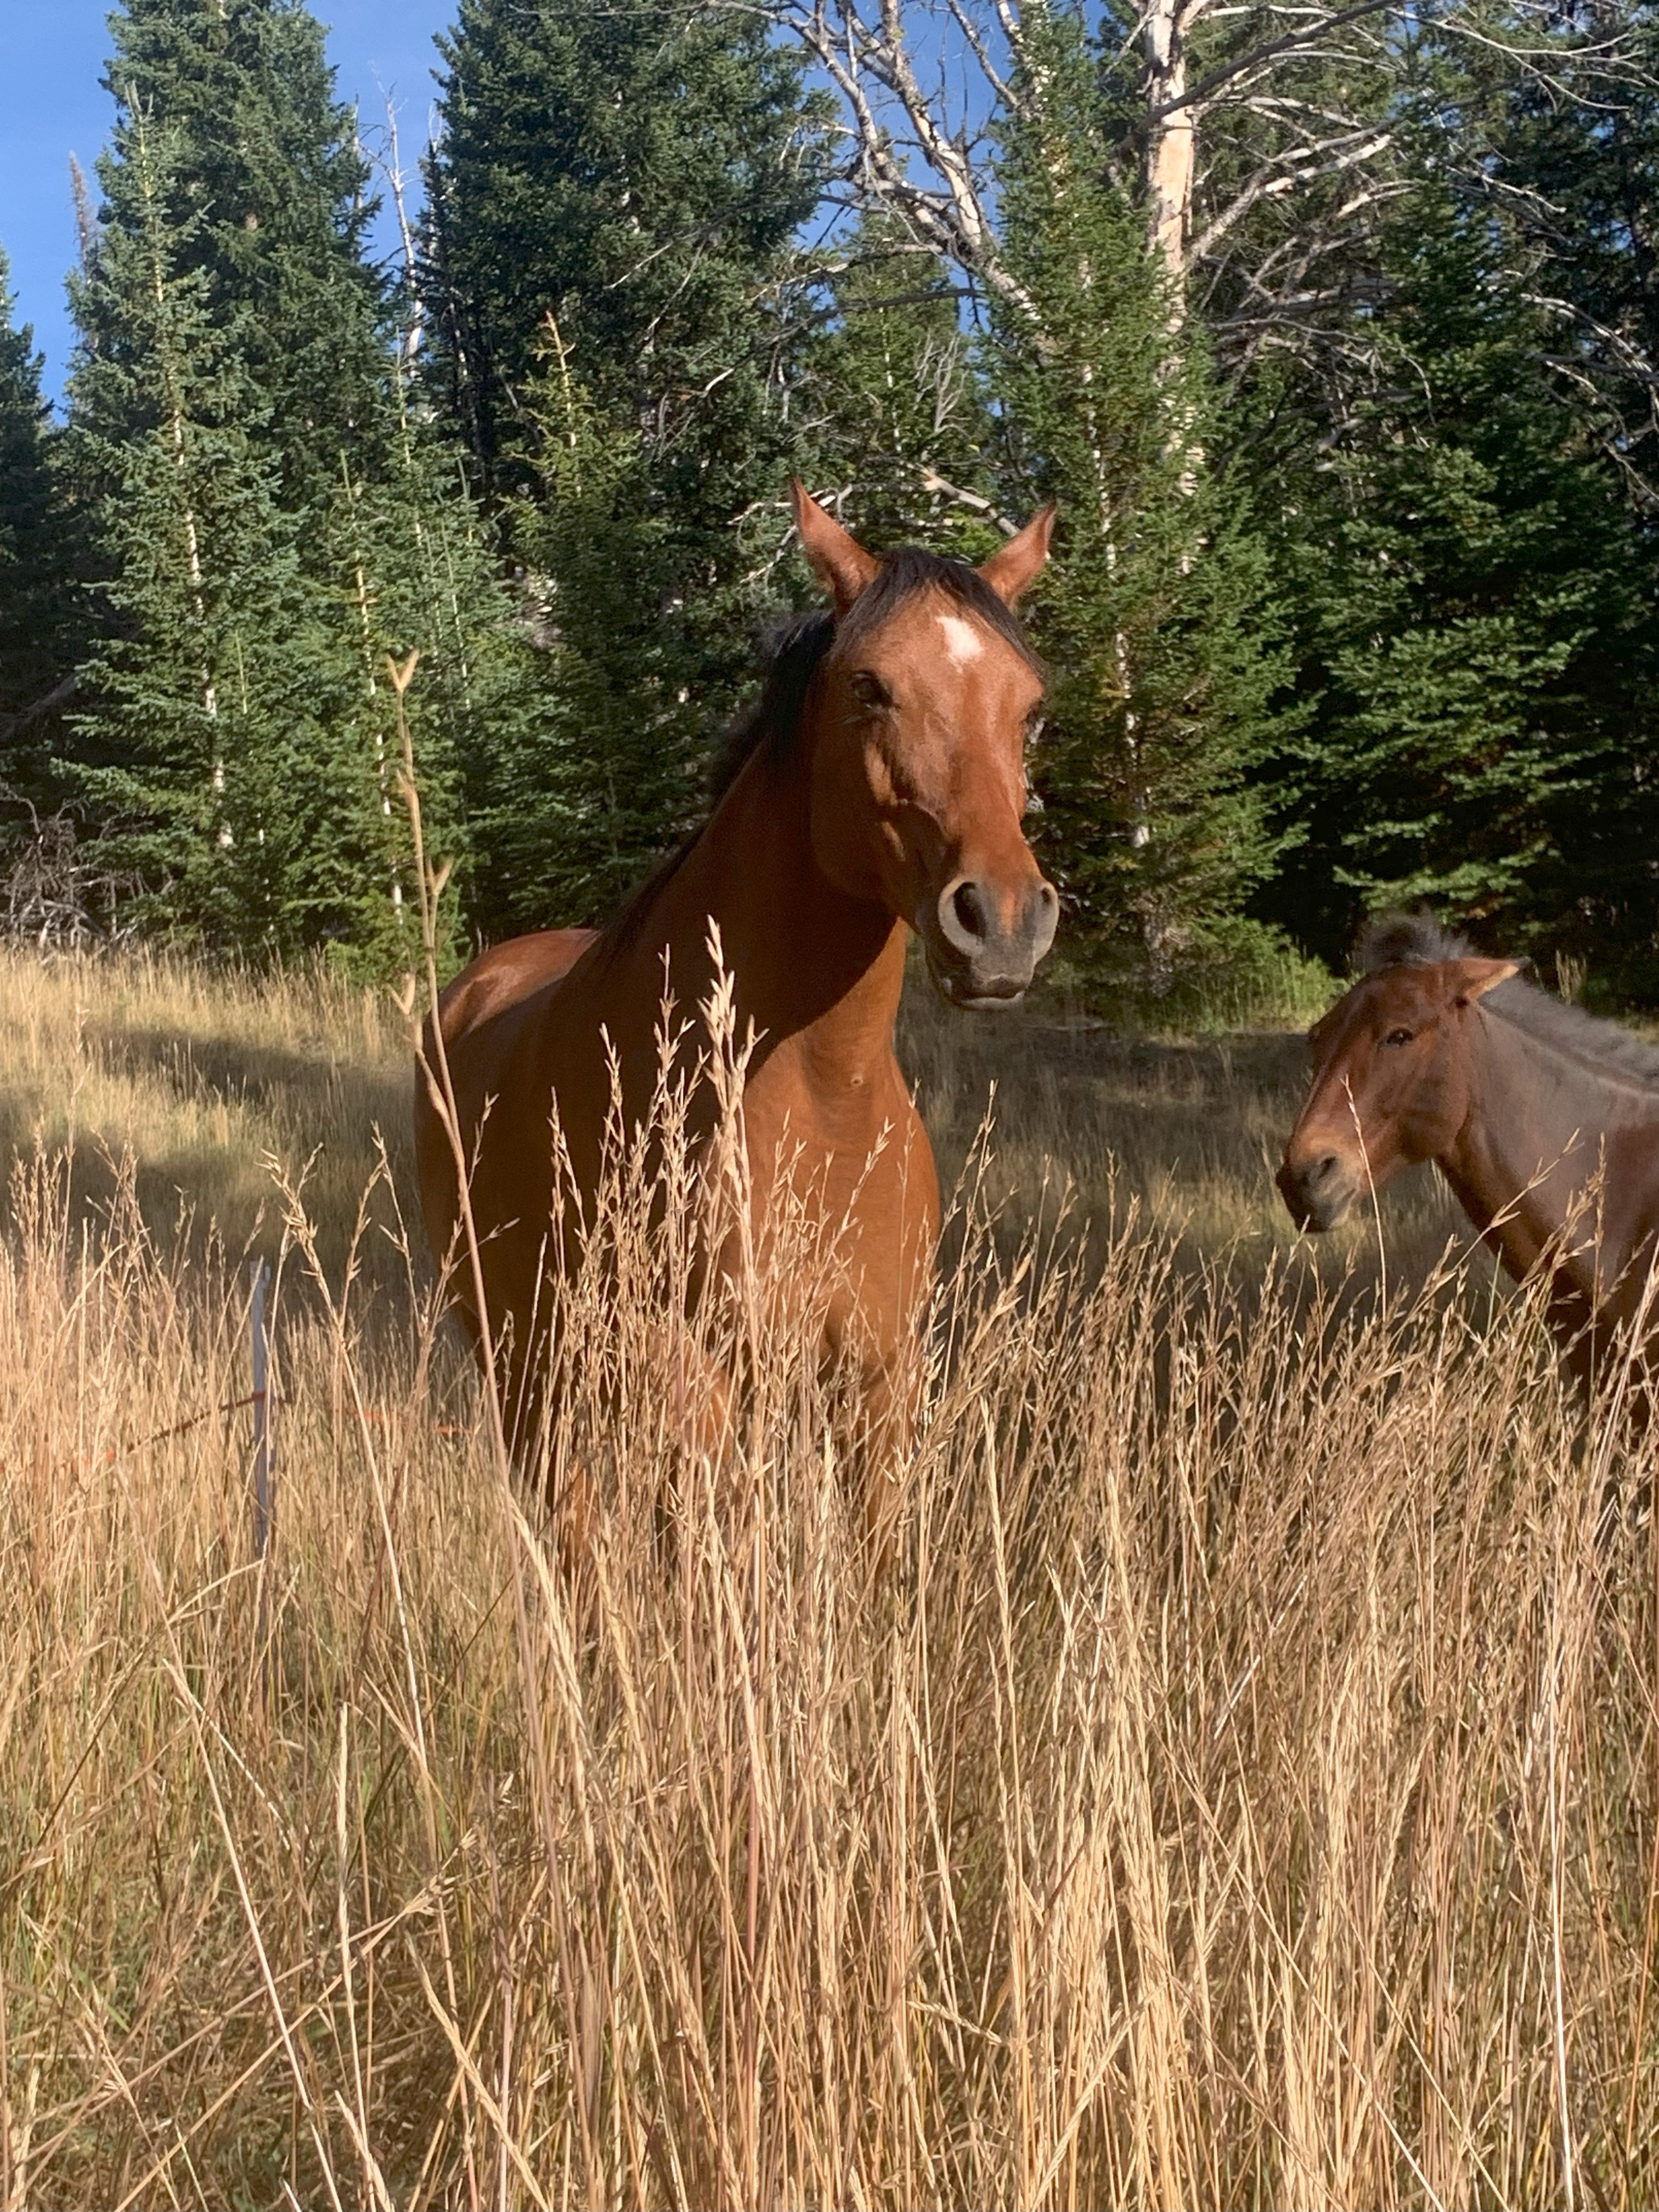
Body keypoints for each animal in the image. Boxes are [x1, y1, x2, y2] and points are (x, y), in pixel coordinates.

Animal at [415, 483, 1058, 1529]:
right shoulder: (695, 1387)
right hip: (524, 1367)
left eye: (1030, 706)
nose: (1000, 923)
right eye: (868, 687)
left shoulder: (877, 1385)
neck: (819, 1103)